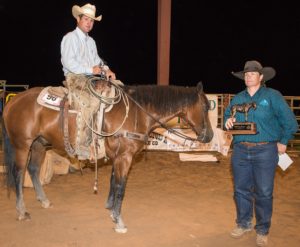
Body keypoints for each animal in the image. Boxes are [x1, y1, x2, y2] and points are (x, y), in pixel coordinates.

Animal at [1, 79, 213, 233]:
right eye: (205, 107)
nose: (209, 136)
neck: (137, 113)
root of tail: (12, 101)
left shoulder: (117, 157)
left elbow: (113, 182)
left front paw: (111, 210)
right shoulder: (125, 157)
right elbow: (121, 187)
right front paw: (119, 221)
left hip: (39, 144)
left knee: (33, 169)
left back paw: (44, 201)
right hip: (22, 145)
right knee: (18, 173)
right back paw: (22, 211)